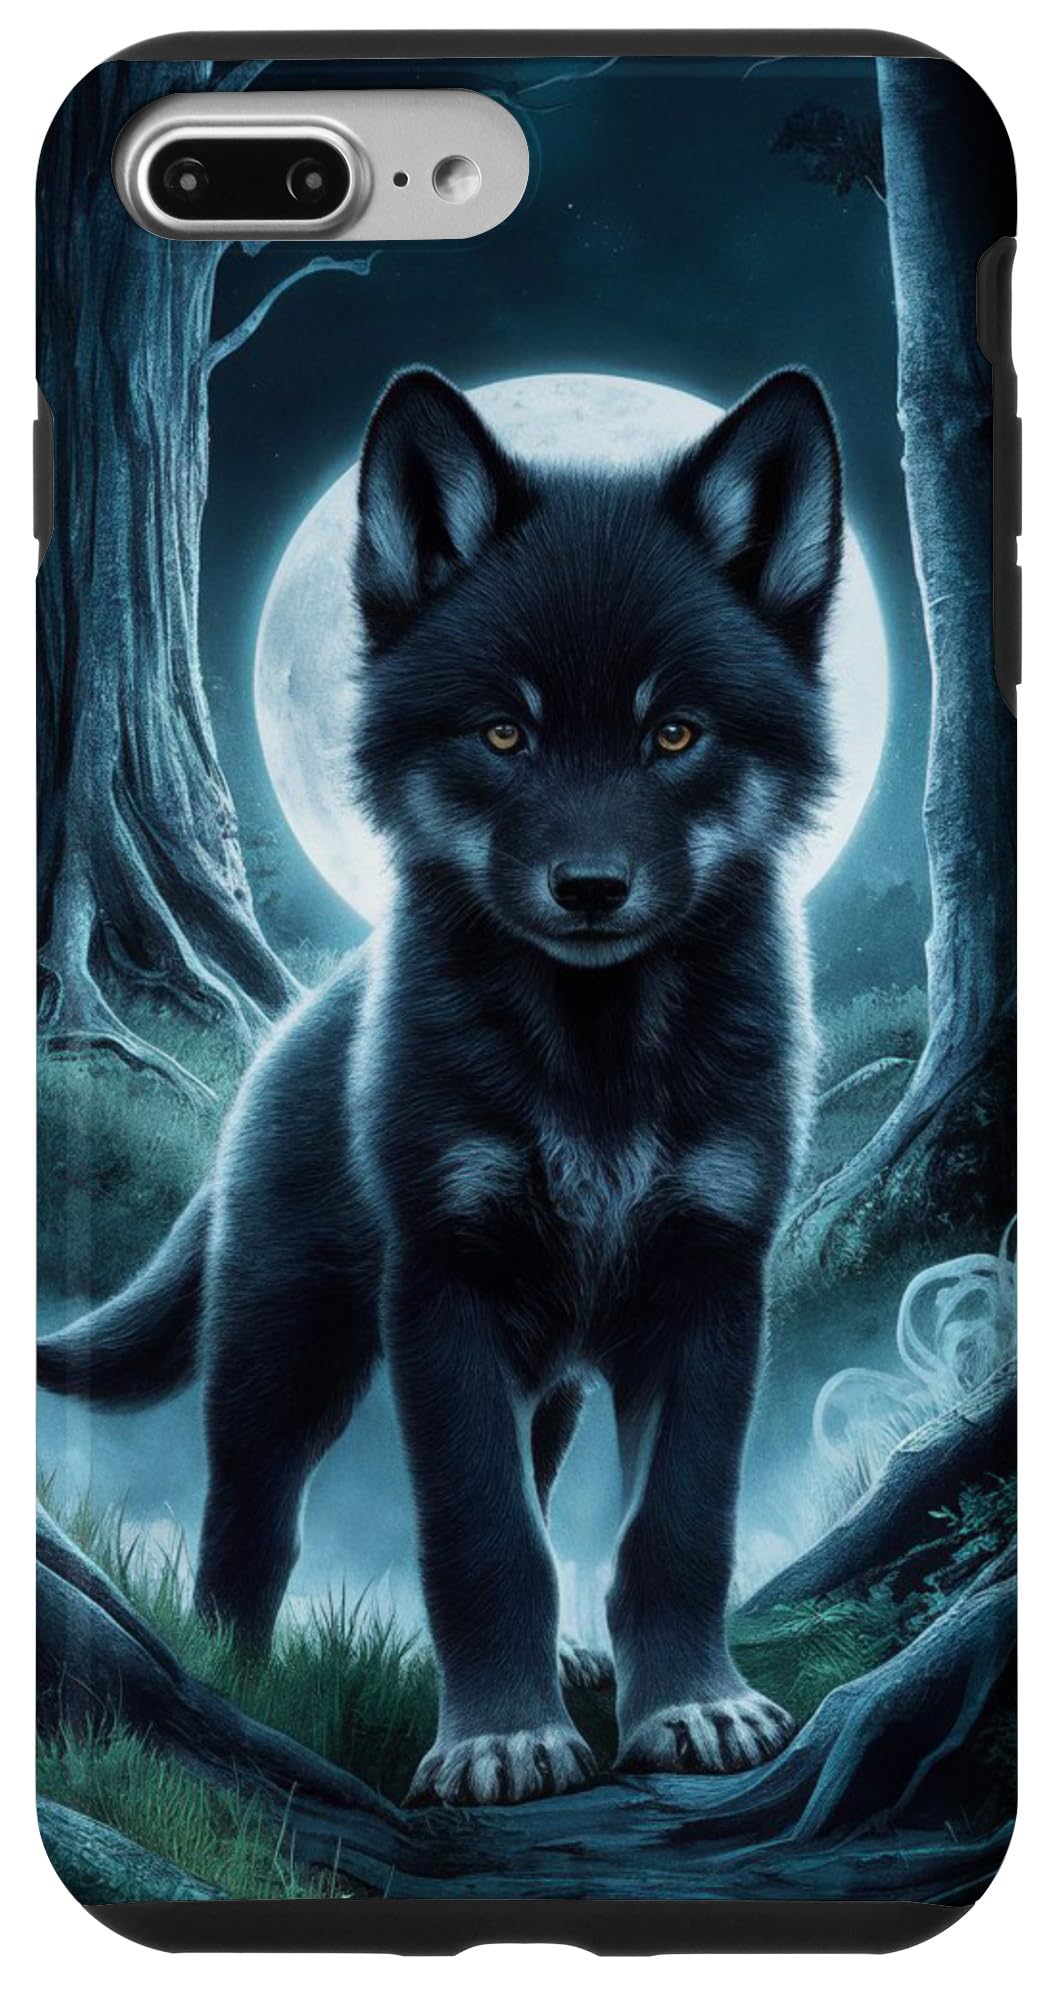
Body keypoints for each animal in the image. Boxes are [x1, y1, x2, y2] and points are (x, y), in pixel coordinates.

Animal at [40, 364, 842, 1806]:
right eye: (504, 732)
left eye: (674, 733)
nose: (590, 888)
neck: (593, 1057)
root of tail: (286, 1035)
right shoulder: (443, 1291)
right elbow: (479, 1535)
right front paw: (502, 1739)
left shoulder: (707, 1283)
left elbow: (676, 1525)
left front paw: (687, 1707)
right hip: (286, 1353)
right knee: (246, 1528)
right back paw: (236, 1683)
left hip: (543, 1378)